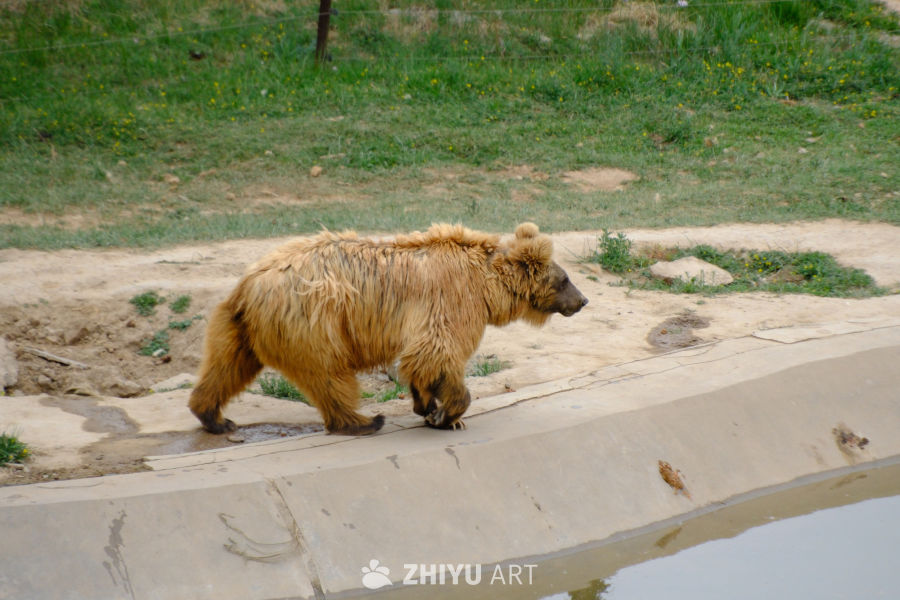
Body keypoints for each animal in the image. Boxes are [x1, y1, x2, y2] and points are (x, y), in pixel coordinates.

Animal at [189, 222, 588, 435]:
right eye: (565, 279)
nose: (583, 300)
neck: (487, 284)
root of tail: (250, 283)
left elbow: (421, 361)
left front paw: (426, 406)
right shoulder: (451, 301)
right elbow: (438, 351)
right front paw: (446, 415)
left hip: (239, 327)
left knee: (226, 366)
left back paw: (214, 417)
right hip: (313, 321)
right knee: (329, 375)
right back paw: (364, 420)